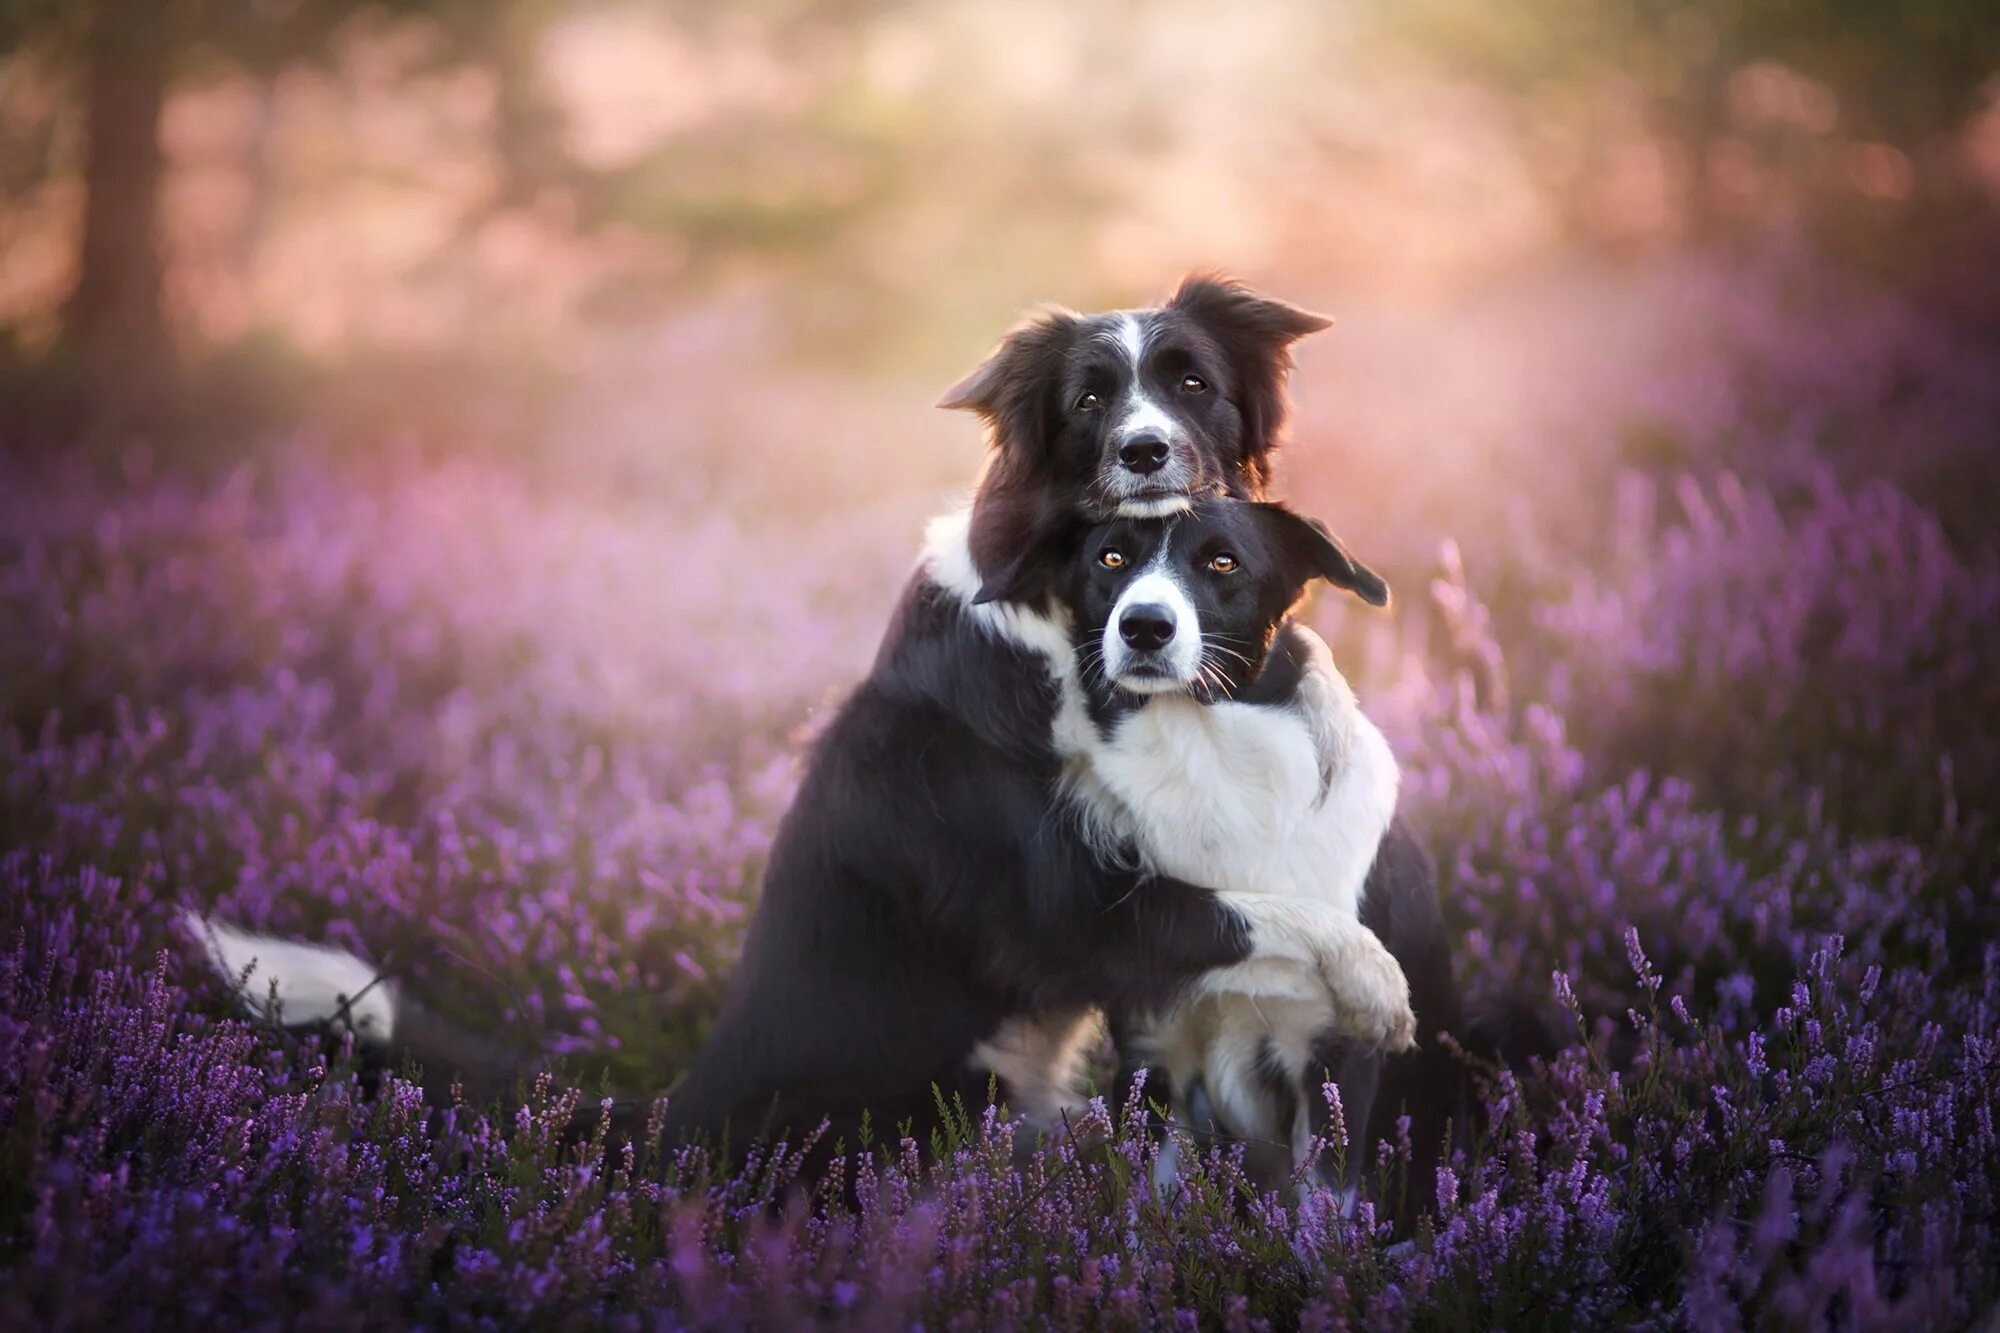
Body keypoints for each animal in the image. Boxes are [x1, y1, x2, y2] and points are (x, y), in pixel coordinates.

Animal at [188, 274, 1472, 1200]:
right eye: (1090, 400)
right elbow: (1259, 910)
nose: (1145, 449)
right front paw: (1375, 980)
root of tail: (673, 1118)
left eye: (1190, 382)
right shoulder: (1064, 903)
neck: (1054, 623)